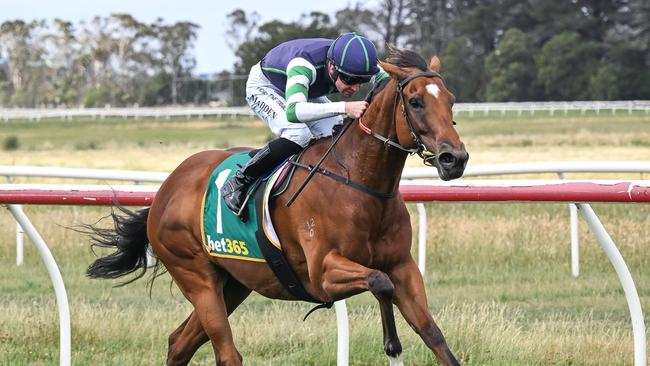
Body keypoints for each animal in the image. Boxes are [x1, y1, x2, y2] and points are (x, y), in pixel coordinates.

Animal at [86, 47, 468, 364]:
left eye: (451, 100)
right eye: (415, 102)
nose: (455, 159)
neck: (359, 183)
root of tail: (166, 190)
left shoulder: (403, 266)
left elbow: (433, 334)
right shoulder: (322, 273)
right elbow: (379, 282)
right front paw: (392, 345)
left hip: (234, 282)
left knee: (179, 342)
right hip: (196, 276)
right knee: (226, 353)